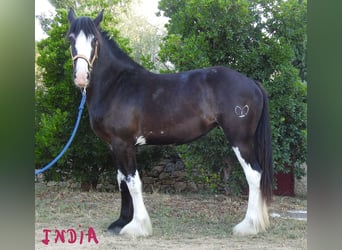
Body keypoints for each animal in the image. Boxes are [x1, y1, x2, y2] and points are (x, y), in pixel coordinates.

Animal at [68, 9, 274, 236]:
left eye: (94, 40)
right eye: (70, 38)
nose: (81, 77)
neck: (116, 85)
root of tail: (252, 83)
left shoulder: (124, 144)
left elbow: (133, 182)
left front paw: (137, 226)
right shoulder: (114, 146)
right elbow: (122, 182)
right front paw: (121, 222)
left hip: (240, 140)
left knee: (254, 175)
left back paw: (249, 225)